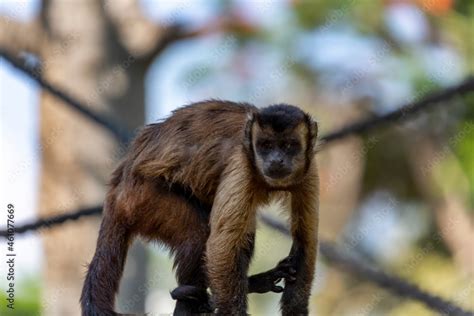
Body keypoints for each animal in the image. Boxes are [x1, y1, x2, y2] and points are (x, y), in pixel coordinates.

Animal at [80, 100, 318, 314]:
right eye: (266, 146)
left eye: (288, 146)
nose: (276, 160)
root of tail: (118, 184)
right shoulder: (241, 164)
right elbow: (221, 245)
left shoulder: (309, 170)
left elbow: (305, 240)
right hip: (141, 198)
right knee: (198, 233)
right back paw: (190, 303)